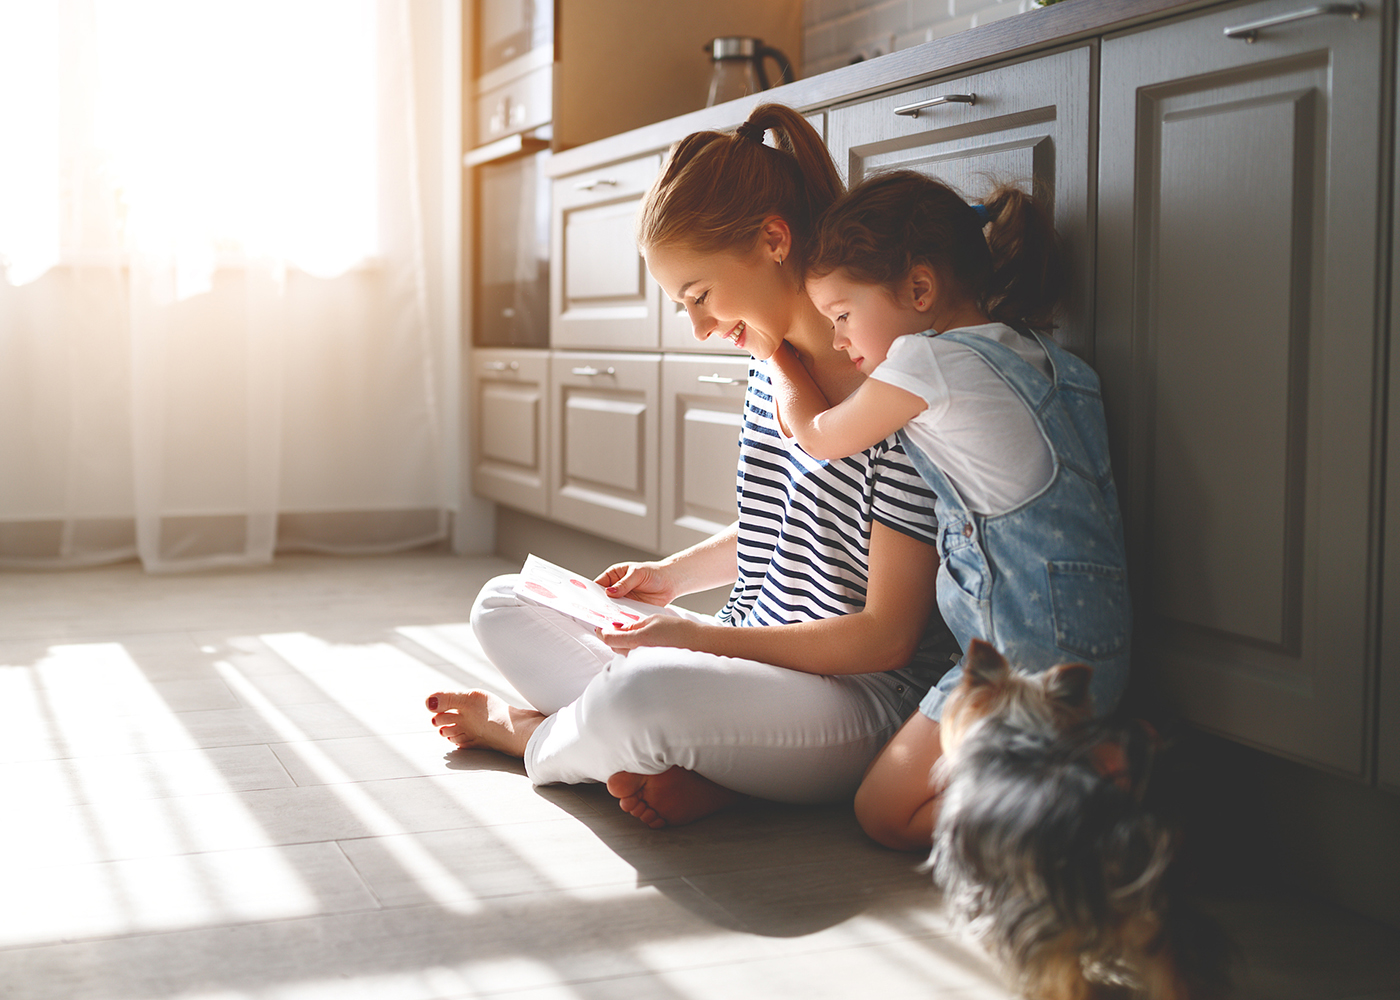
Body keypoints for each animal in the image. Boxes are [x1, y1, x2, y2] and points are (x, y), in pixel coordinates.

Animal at [929, 638, 1226, 997]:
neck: (1015, 728)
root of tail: (1121, 832)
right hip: (1151, 920)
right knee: (1170, 975)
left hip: (1045, 918)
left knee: (1064, 979)